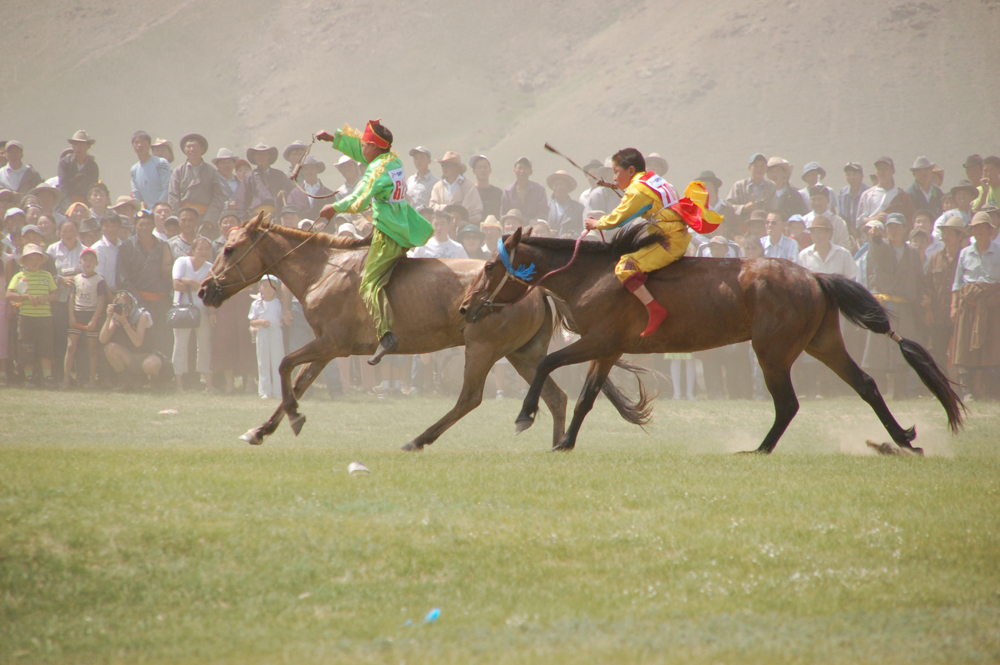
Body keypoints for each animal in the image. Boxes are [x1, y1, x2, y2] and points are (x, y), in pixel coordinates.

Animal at [198, 214, 576, 452]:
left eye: (229, 249)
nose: (204, 289)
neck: (324, 269)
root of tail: (537, 289)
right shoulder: (327, 350)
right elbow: (300, 380)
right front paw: (263, 429)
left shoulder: (331, 344)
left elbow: (284, 365)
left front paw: (292, 417)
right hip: (522, 354)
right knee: (556, 397)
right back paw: (558, 445)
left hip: (482, 349)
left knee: (469, 399)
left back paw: (418, 440)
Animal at [458, 226, 960, 454]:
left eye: (489, 267)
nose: (464, 308)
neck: (592, 275)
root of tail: (814, 276)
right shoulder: (608, 349)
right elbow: (585, 399)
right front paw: (565, 443)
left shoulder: (597, 341)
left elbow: (546, 366)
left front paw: (525, 416)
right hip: (822, 344)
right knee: (867, 385)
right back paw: (903, 438)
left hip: (772, 352)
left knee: (788, 403)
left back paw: (759, 449)